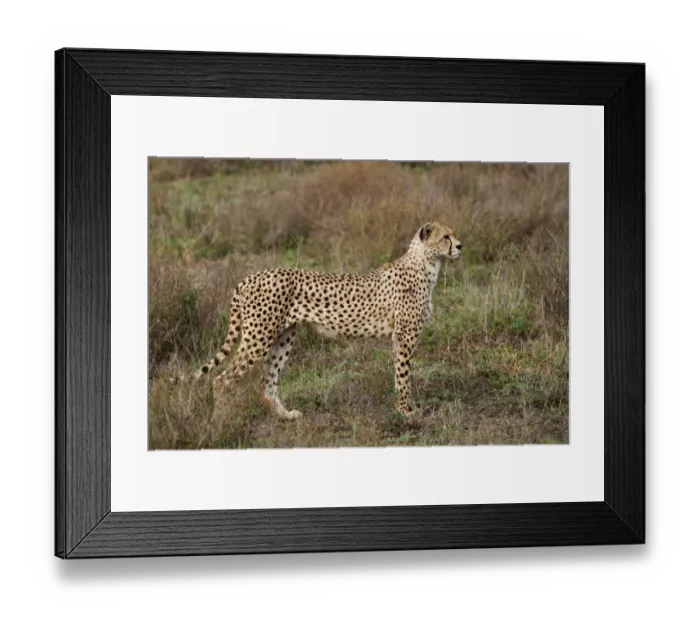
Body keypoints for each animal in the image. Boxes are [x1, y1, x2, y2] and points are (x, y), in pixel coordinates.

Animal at [173, 221, 462, 420]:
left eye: (453, 233)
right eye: (445, 236)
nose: (460, 246)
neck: (426, 264)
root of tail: (251, 276)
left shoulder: (398, 337)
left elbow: (398, 374)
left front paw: (403, 407)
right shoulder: (405, 336)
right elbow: (403, 376)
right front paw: (406, 411)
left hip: (284, 337)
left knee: (268, 383)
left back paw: (286, 416)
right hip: (259, 338)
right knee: (222, 380)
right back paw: (219, 420)